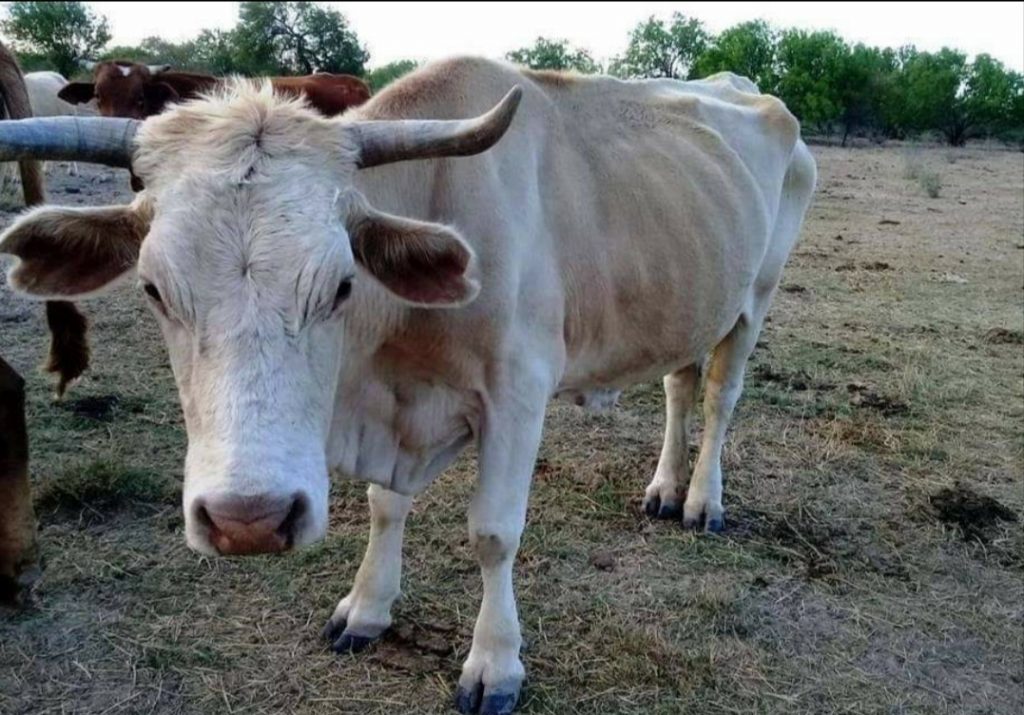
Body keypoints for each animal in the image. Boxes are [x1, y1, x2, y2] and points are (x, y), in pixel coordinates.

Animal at [0, 58, 815, 708]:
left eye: (340, 284)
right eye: (153, 289)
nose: (248, 519)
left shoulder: (518, 395)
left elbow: (494, 534)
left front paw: (495, 663)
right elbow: (385, 505)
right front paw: (367, 606)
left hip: (755, 299)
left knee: (719, 398)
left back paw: (703, 500)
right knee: (679, 388)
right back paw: (664, 488)